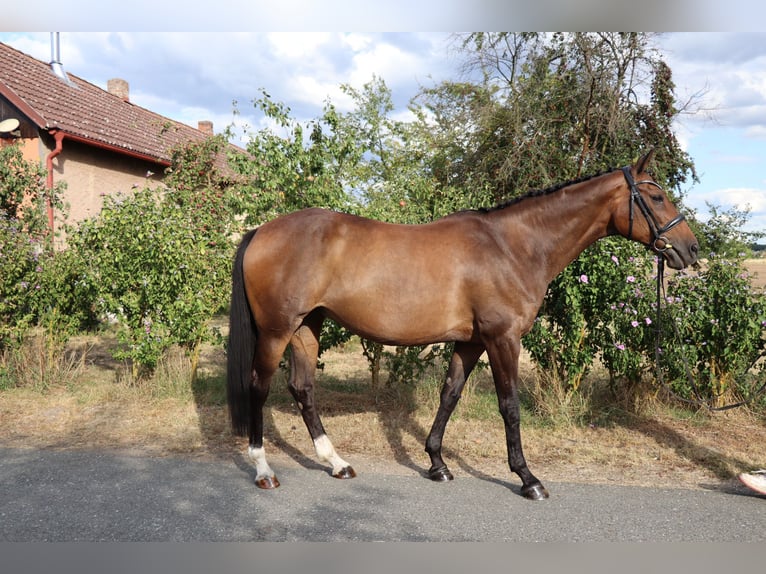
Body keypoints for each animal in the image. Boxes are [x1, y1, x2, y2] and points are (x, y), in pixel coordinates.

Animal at [226, 149, 699, 499]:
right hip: (277, 331)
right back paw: (263, 470)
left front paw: (437, 464)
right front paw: (528, 479)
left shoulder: (471, 342)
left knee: (303, 388)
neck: (512, 246)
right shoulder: (502, 338)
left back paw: (337, 463)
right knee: (259, 387)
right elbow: (509, 406)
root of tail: (260, 231)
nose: (691, 249)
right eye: (657, 198)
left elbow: (449, 396)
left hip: (308, 326)